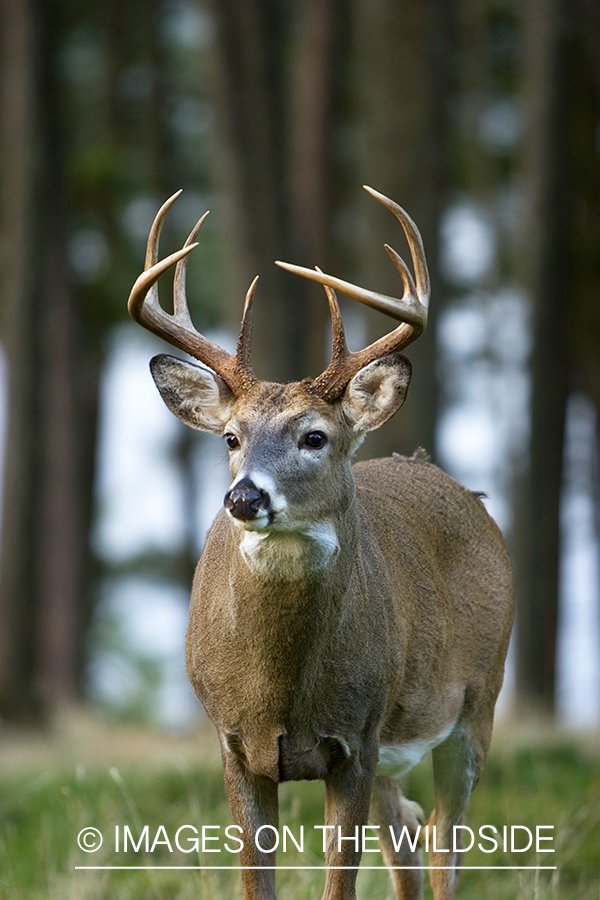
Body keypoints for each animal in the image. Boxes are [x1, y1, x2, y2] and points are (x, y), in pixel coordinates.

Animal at [126, 185, 510, 900]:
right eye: (231, 437)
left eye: (314, 436)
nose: (244, 497)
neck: (281, 692)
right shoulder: (233, 743)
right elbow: (257, 880)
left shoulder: (356, 738)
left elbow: (341, 882)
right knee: (408, 831)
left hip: (477, 701)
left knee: (445, 839)